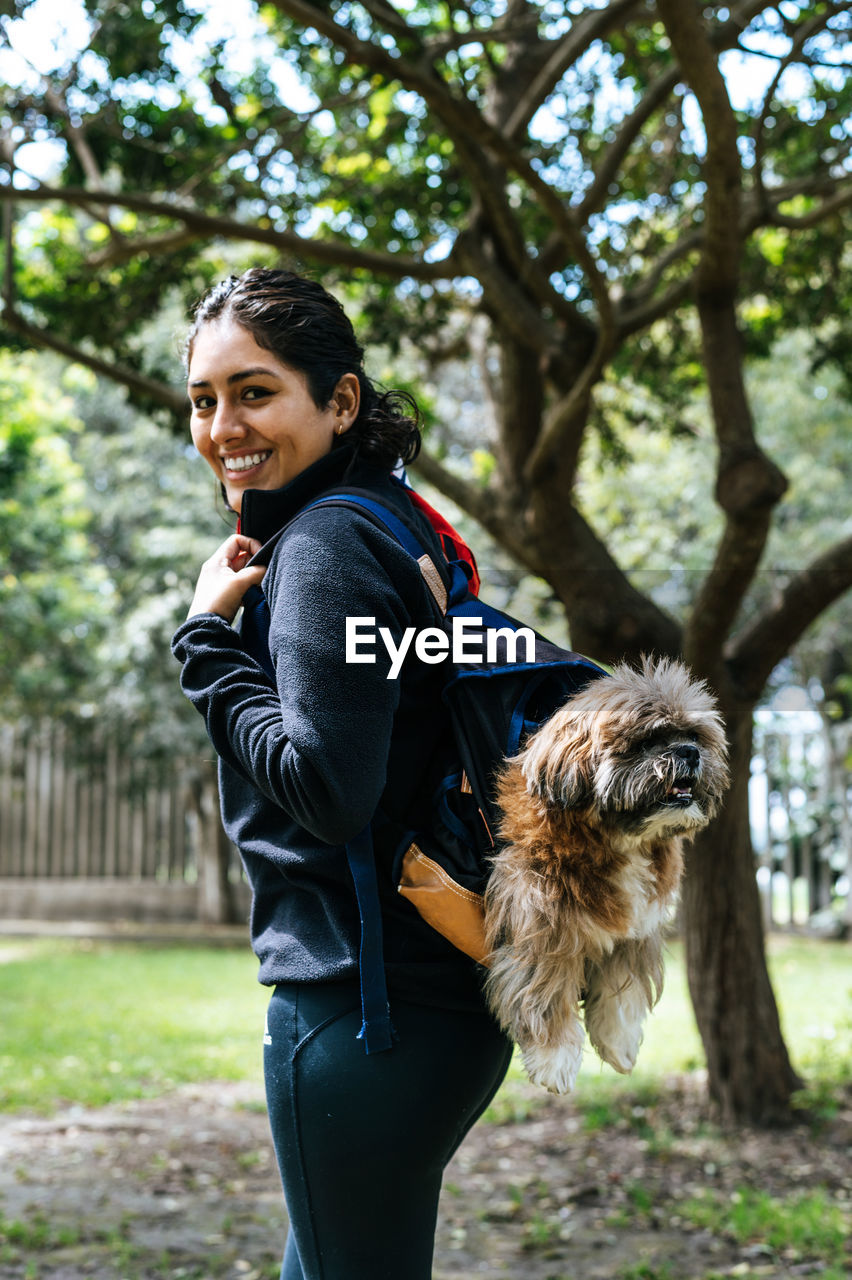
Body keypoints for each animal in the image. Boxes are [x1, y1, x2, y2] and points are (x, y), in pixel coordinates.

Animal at [481, 660, 726, 1090]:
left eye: (694, 735)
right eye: (647, 740)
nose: (689, 752)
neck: (619, 840)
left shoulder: (635, 929)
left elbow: (620, 992)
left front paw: (619, 1043)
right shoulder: (540, 923)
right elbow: (544, 991)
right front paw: (555, 1059)